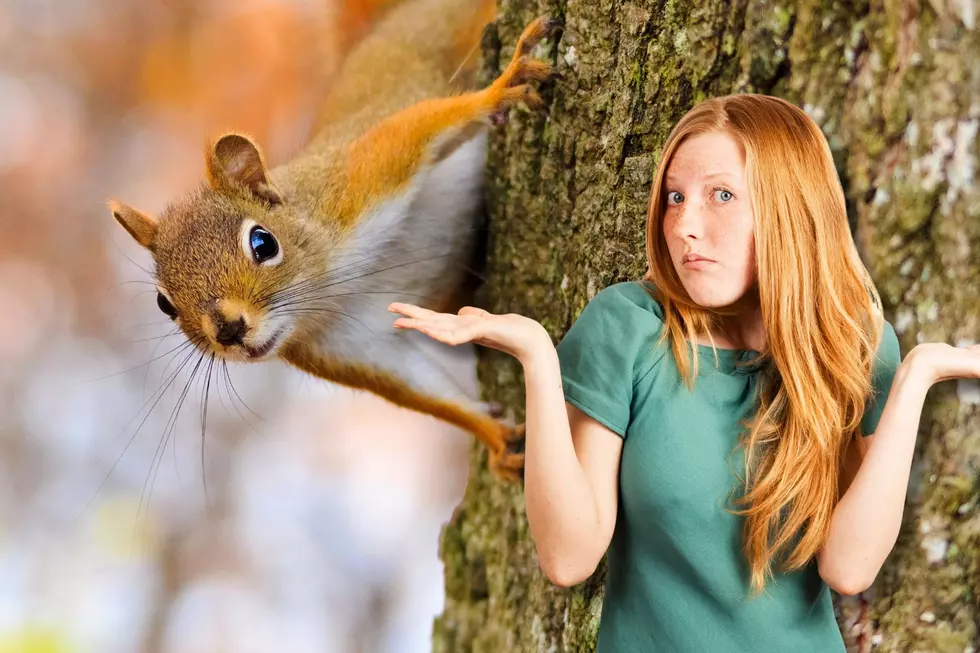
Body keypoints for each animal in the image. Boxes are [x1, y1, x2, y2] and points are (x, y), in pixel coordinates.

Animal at [108, 0, 559, 483]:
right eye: (164, 305)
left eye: (263, 244)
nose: (228, 330)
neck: (332, 288)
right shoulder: (347, 348)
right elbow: (424, 389)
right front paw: (495, 435)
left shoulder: (356, 182)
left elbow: (420, 128)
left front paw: (500, 88)